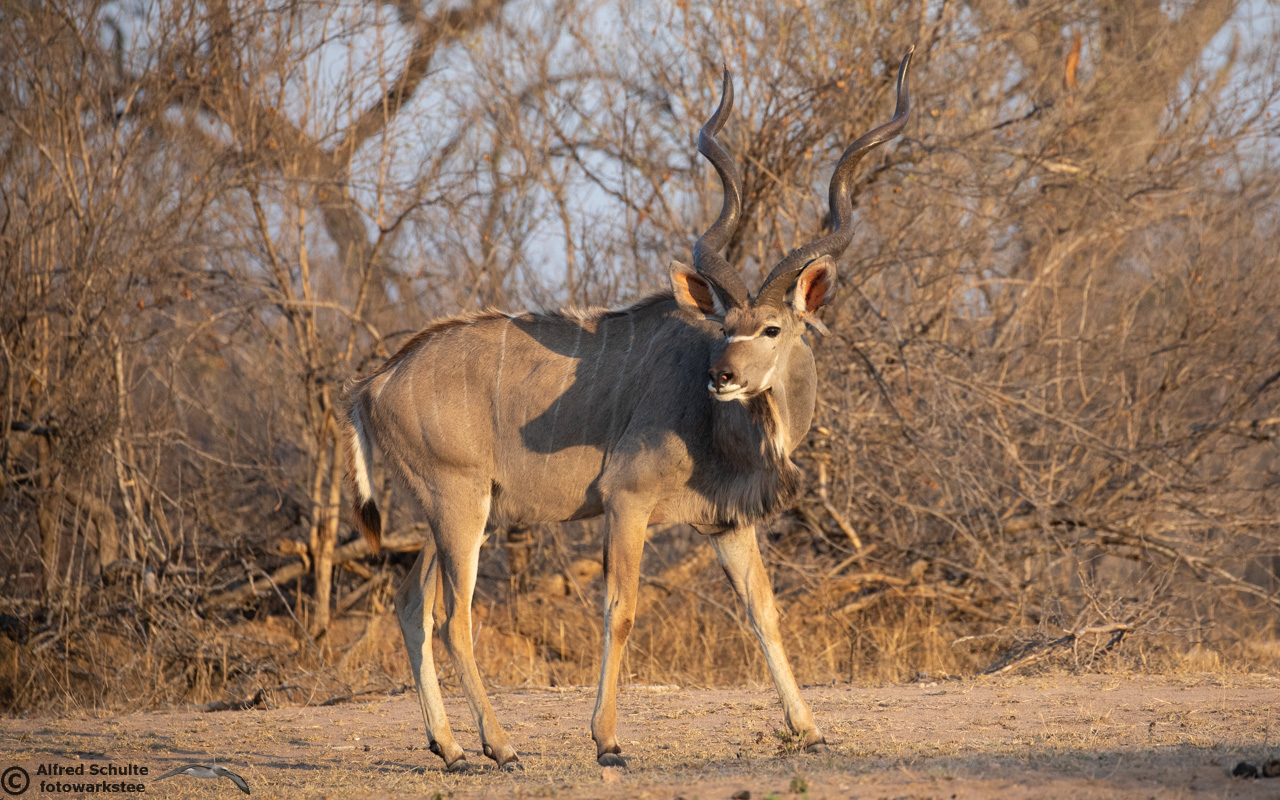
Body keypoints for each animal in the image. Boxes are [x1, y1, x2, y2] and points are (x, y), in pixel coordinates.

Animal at [341, 48, 913, 771]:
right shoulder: (627, 502)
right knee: (454, 619)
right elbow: (621, 608)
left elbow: (763, 610)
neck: (720, 421)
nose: (723, 375)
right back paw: (500, 746)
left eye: (771, 328)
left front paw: (809, 729)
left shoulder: (726, 524)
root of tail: (374, 382)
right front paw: (607, 740)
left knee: (412, 603)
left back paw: (449, 747)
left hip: (452, 511)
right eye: (725, 324)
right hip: (457, 505)